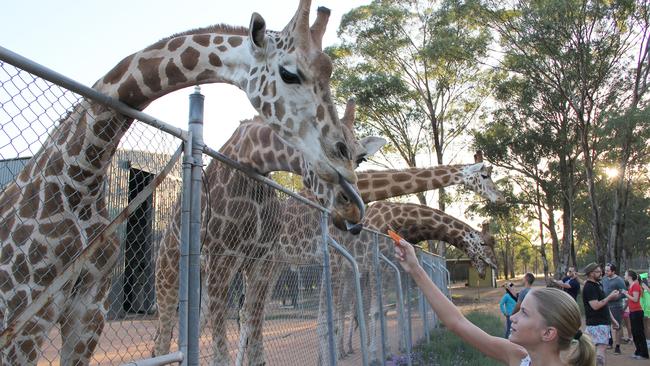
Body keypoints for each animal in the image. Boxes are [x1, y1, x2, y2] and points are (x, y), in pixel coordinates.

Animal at [152, 98, 384, 364]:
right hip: (168, 271)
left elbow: (255, 342)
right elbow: (221, 354)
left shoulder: (262, 260)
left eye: (361, 158)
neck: (252, 159)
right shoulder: (222, 257)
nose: (354, 216)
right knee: (162, 338)